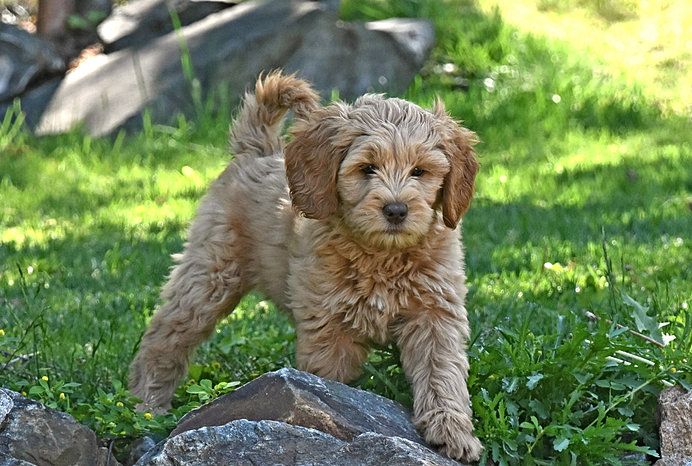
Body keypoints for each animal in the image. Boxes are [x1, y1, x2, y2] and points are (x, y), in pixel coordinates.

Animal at [131, 71, 486, 460]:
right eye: (367, 169)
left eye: (419, 171)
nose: (396, 210)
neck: (383, 255)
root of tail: (259, 149)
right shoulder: (329, 329)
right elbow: (330, 379)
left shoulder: (435, 313)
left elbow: (442, 373)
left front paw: (452, 430)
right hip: (210, 273)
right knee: (165, 336)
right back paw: (146, 405)